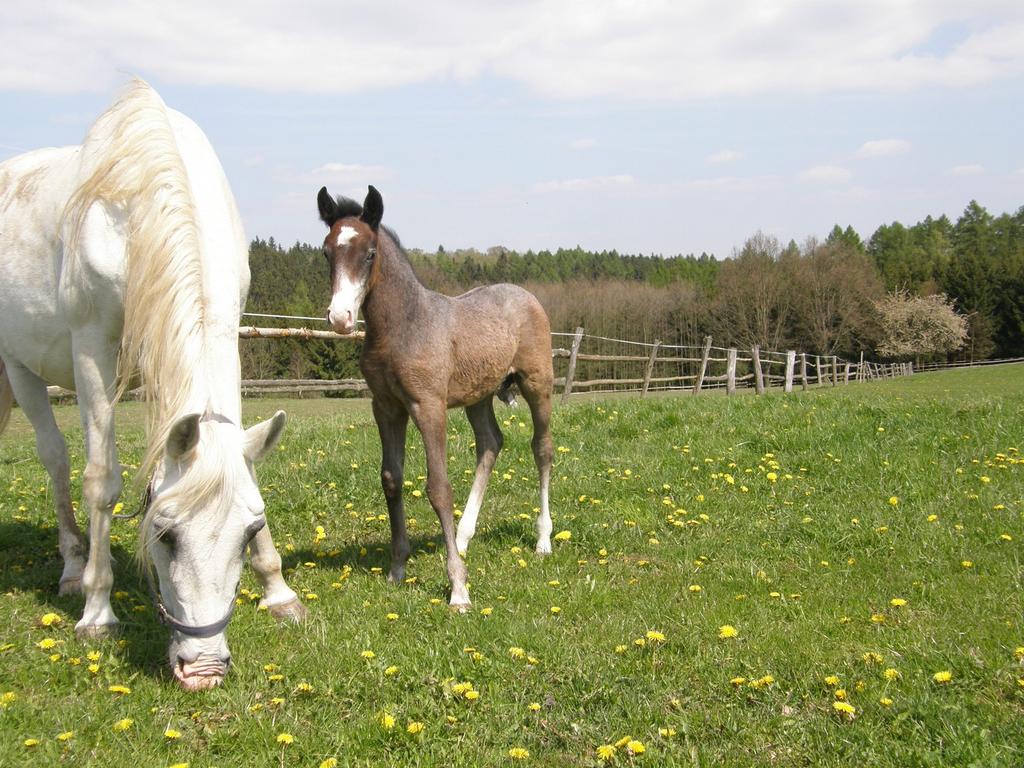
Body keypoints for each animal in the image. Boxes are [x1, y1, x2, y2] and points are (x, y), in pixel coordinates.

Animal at [0, 79, 303, 692]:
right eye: (165, 536)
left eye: (249, 531)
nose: (204, 670)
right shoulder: (91, 350)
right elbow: (102, 481)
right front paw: (97, 611)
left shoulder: (227, 332)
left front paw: (278, 590)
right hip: (21, 368)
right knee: (56, 459)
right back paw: (74, 568)